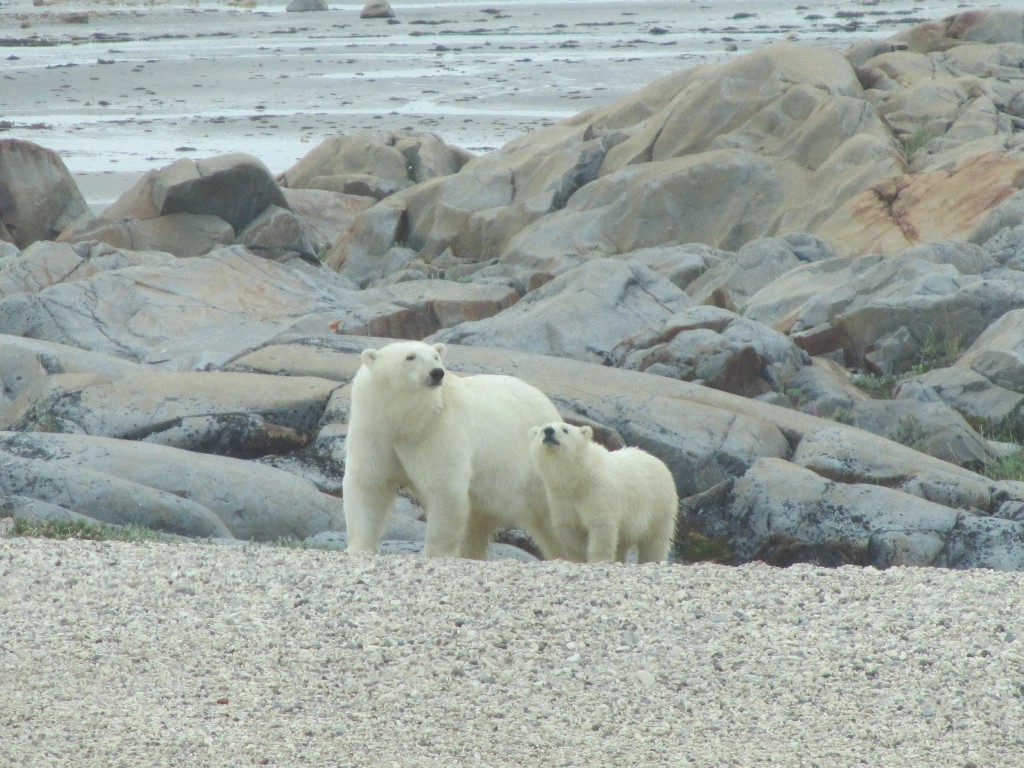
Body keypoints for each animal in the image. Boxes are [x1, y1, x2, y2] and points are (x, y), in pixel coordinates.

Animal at [344, 342, 569, 561]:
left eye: (436, 356)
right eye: (410, 356)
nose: (437, 372)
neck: (407, 421)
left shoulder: (437, 429)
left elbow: (443, 485)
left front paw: (436, 553)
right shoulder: (374, 428)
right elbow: (369, 482)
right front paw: (359, 548)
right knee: (477, 522)